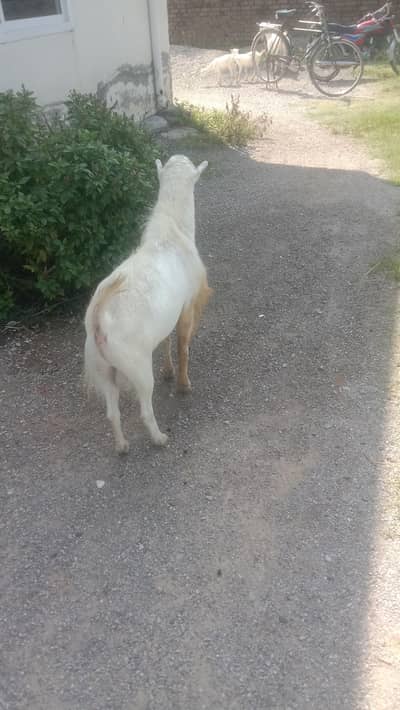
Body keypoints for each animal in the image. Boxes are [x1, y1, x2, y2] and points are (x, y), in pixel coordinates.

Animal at [84, 155, 212, 454]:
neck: (172, 232)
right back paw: (159, 439)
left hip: (103, 368)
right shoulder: (187, 306)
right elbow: (183, 346)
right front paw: (183, 385)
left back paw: (121, 446)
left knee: (112, 412)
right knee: (144, 410)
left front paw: (168, 372)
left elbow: (166, 341)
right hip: (137, 367)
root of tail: (98, 317)